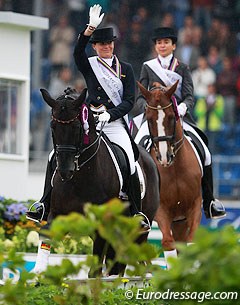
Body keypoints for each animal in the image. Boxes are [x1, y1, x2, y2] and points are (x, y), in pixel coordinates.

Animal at [137, 81, 202, 262]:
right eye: (149, 119)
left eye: (172, 117)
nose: (165, 157)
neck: (175, 170)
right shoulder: (161, 210)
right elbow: (167, 243)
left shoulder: (195, 205)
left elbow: (191, 243)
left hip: (179, 221)